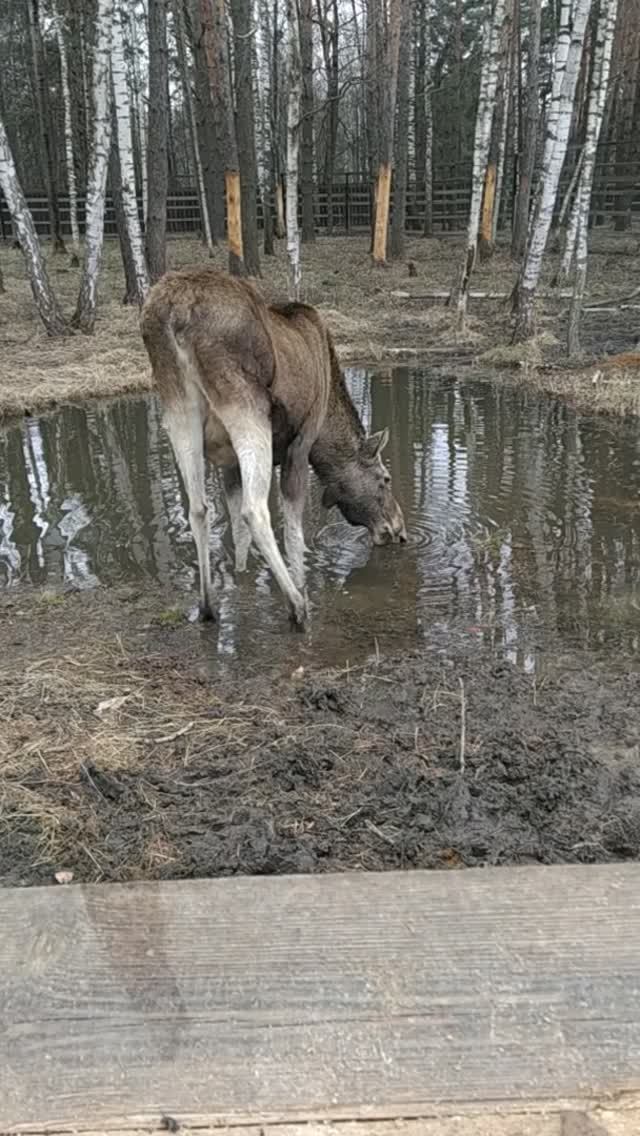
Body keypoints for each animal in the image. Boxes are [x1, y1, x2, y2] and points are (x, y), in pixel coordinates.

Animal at [142, 268, 409, 631]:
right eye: (385, 479)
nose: (399, 530)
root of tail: (173, 315)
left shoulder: (228, 464)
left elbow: (237, 532)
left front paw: (241, 575)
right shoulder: (302, 442)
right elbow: (293, 531)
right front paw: (302, 585)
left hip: (177, 409)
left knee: (198, 508)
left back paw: (208, 605)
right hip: (248, 406)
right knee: (255, 510)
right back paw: (297, 607)